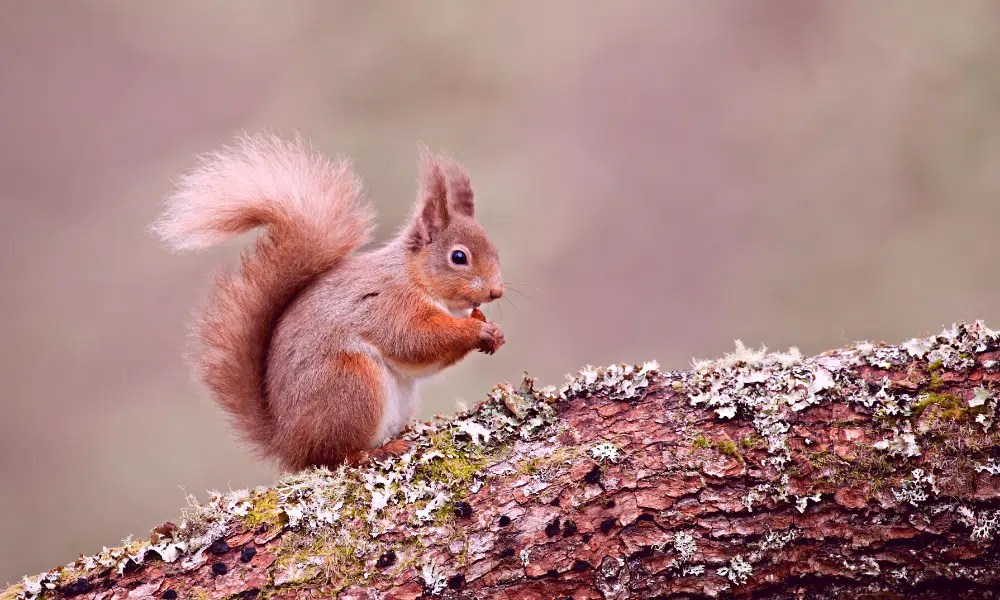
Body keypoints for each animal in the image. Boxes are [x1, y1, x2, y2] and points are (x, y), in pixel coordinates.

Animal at [153, 133, 505, 471]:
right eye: (458, 257)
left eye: (495, 250)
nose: (496, 292)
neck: (414, 276)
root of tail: (288, 444)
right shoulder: (391, 305)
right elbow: (416, 340)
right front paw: (476, 330)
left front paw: (490, 327)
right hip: (351, 384)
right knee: (333, 455)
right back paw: (375, 452)